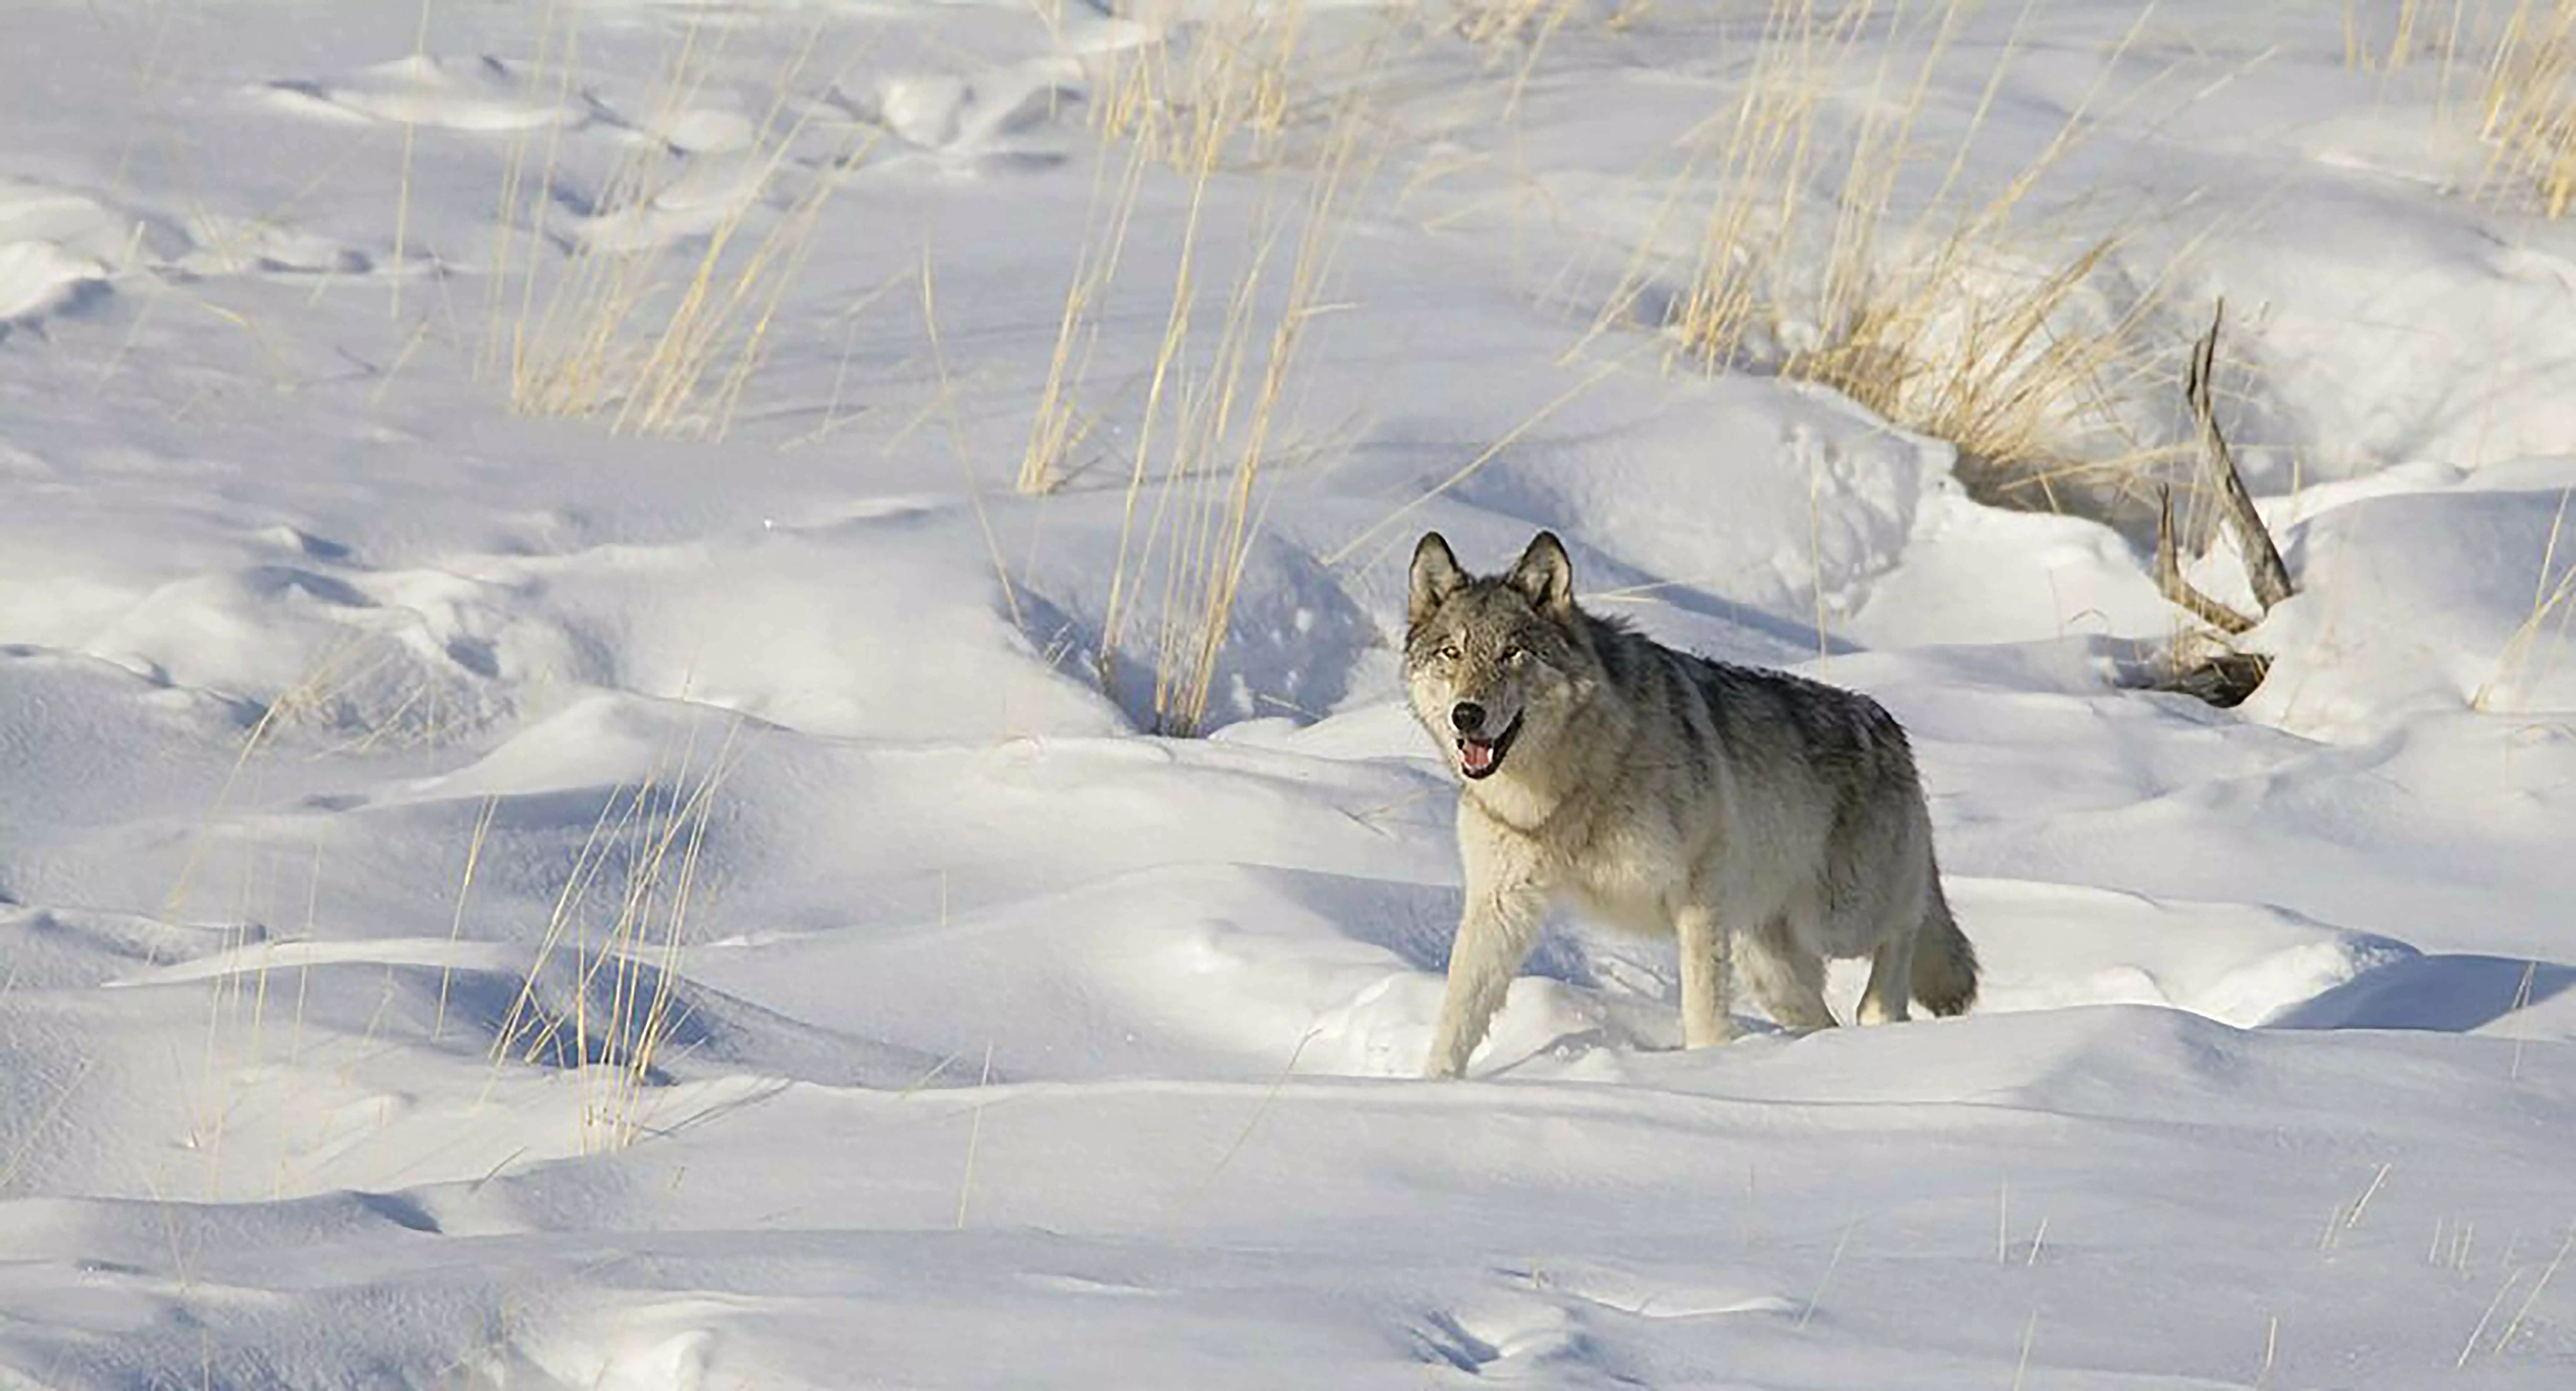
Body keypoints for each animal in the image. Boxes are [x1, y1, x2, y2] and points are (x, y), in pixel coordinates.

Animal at [1403, 529, 1978, 1078]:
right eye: (1452, 653)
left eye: (1512, 653)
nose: (1467, 715)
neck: (1567, 785)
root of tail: (1887, 724)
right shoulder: (1499, 905)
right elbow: (1456, 1017)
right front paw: (1432, 1087)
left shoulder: (1699, 898)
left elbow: (1702, 1010)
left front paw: (1706, 1068)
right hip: (1771, 969)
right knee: (1825, 1018)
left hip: (1840, 918)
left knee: (1906, 926)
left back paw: (1880, 1016)